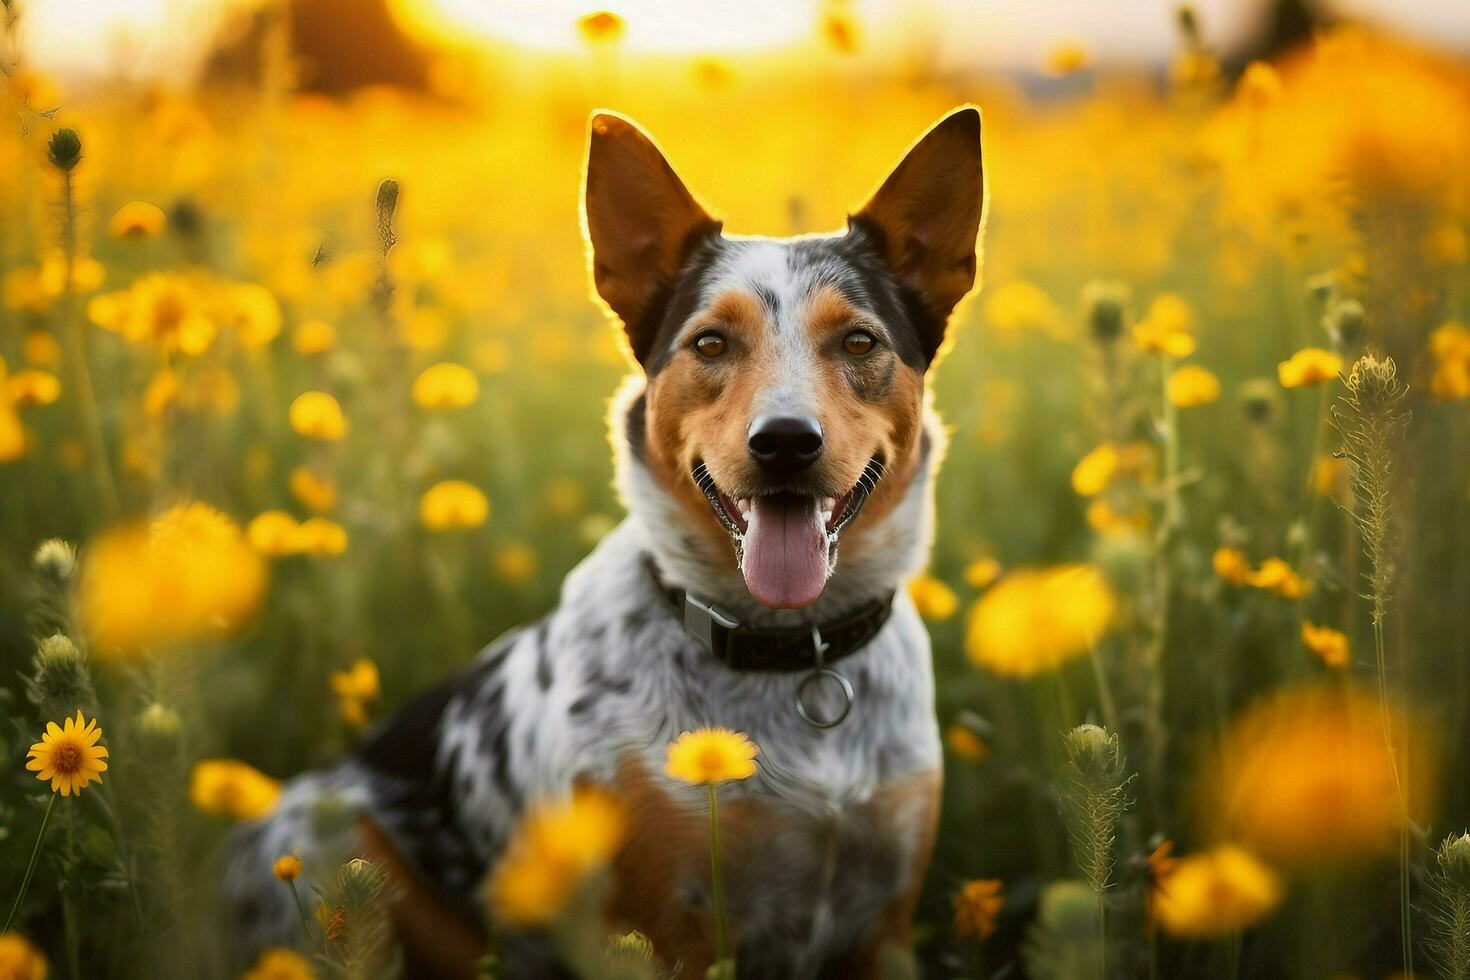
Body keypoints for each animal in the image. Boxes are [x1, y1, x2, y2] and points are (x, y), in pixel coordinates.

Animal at [226, 107, 987, 980]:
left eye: (860, 343)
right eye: (711, 344)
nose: (786, 442)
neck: (794, 655)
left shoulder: (884, 923)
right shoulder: (668, 927)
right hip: (336, 848)